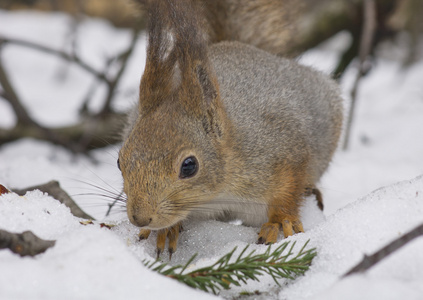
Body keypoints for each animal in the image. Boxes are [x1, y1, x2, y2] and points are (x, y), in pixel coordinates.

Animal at [117, 0, 342, 258]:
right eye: (119, 162)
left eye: (189, 166)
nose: (140, 218)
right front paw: (167, 229)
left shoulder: (281, 151)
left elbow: (289, 189)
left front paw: (280, 221)